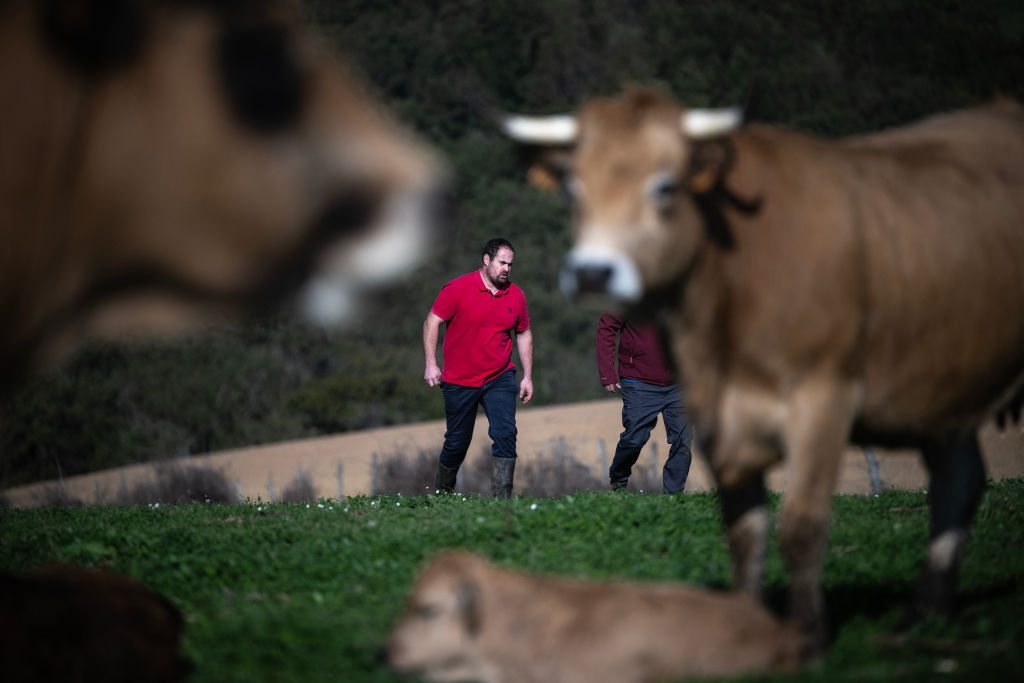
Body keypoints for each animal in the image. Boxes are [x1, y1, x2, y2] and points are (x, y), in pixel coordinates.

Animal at [489, 88, 1024, 655]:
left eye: (666, 185)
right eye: (574, 188)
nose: (593, 271)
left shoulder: (822, 397)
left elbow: (800, 524)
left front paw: (805, 634)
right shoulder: (719, 411)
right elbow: (745, 531)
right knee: (959, 481)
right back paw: (924, 615)